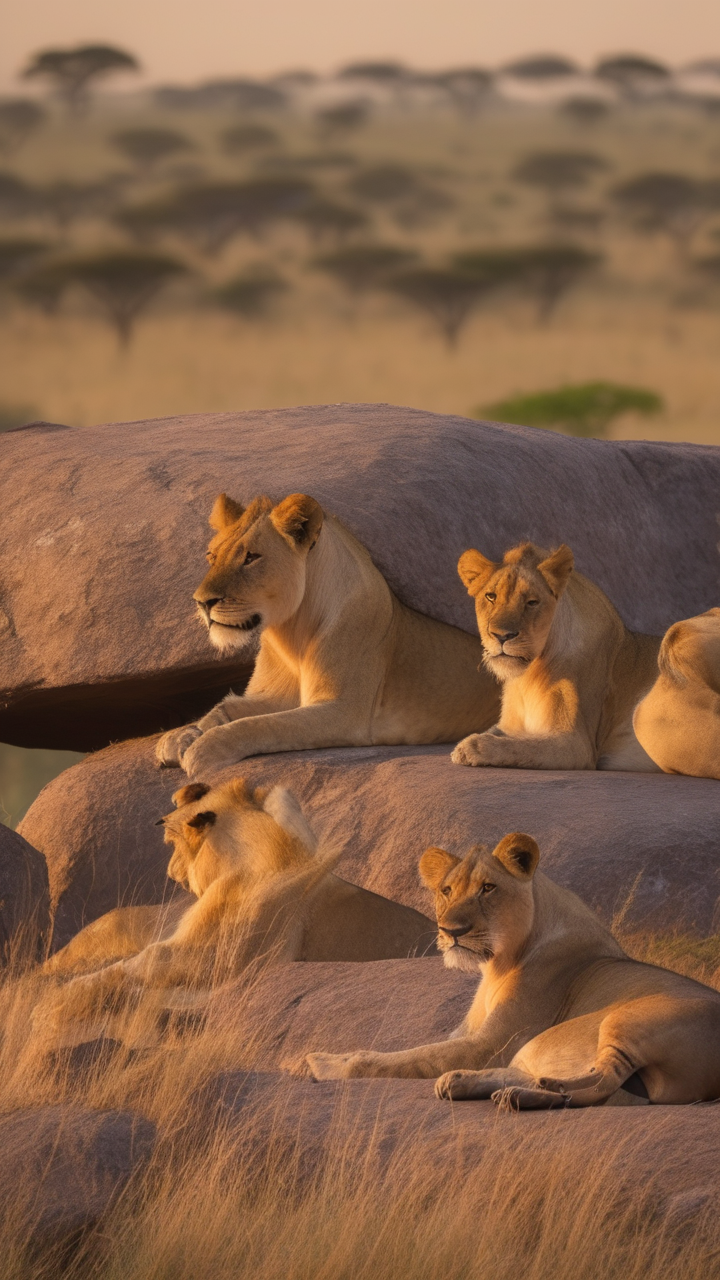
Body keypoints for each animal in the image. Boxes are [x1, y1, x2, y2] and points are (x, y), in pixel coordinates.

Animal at [155, 492, 499, 777]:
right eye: (211, 557)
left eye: (251, 557)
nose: (202, 602)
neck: (291, 632)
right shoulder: (273, 697)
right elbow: (224, 708)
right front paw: (180, 736)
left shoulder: (343, 712)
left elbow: (263, 725)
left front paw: (203, 749)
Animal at [295, 833, 720, 1109]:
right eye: (447, 890)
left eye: (488, 888)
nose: (451, 931)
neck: (498, 962)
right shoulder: (470, 1035)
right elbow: (416, 1048)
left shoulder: (491, 1043)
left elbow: (399, 1058)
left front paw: (322, 1063)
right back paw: (471, 1084)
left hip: (625, 1022)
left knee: (601, 1083)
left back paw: (529, 1091)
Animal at [451, 540, 661, 771]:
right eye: (491, 596)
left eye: (532, 602)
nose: (501, 636)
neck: (526, 677)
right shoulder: (508, 724)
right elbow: (499, 733)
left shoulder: (576, 744)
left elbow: (522, 746)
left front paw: (472, 747)